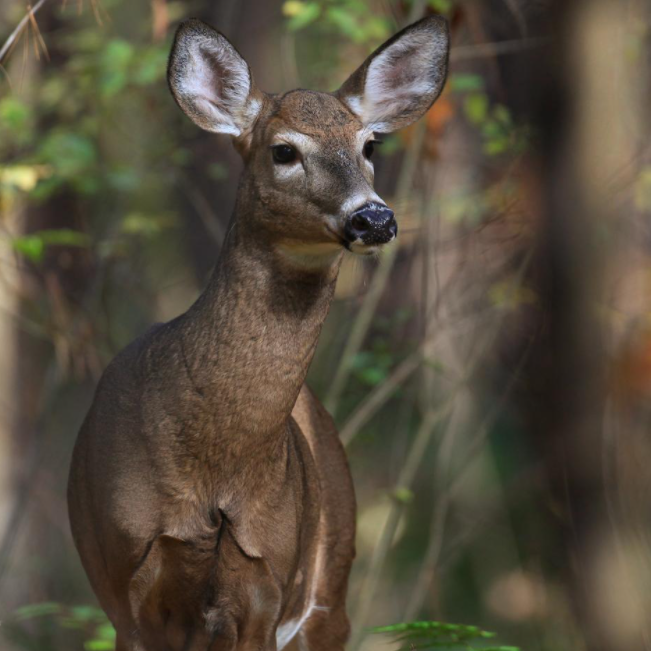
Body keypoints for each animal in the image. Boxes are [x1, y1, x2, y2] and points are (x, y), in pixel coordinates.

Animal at [69, 15, 450, 651]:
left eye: (369, 145)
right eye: (284, 151)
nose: (373, 218)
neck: (211, 472)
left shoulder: (267, 584)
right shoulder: (123, 585)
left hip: (329, 585)